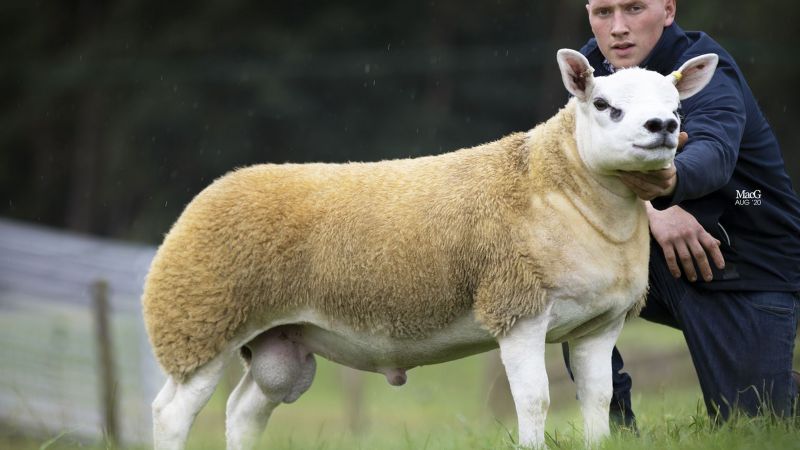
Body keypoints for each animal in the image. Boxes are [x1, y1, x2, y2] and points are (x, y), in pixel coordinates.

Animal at [143, 49, 718, 449]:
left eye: (677, 107)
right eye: (604, 105)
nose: (663, 127)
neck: (561, 186)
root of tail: (213, 191)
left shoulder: (601, 323)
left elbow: (599, 398)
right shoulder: (517, 308)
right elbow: (535, 400)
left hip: (277, 342)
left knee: (243, 411)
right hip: (199, 322)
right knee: (171, 413)